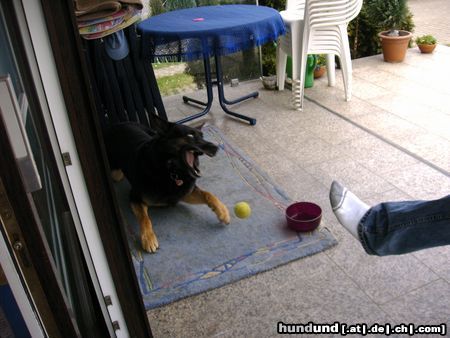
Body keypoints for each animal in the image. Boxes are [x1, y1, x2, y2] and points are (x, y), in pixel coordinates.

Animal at [104, 117, 230, 252]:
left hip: (152, 133)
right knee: (117, 174)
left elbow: (208, 194)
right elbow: (144, 218)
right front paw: (148, 238)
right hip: (115, 172)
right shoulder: (135, 197)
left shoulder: (184, 193)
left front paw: (222, 211)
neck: (171, 171)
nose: (215, 148)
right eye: (190, 135)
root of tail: (119, 123)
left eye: (202, 136)